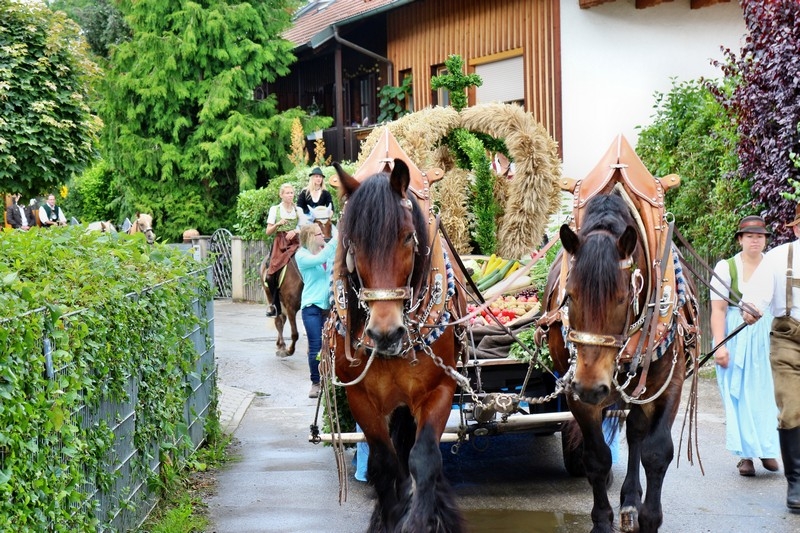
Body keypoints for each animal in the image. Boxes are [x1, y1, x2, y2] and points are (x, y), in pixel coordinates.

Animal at [260, 216, 334, 358]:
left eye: (330, 227)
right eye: (318, 230)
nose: (326, 242)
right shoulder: (290, 307)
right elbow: (295, 333)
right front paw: (289, 350)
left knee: (281, 319)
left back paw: (280, 344)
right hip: (272, 297)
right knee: (278, 320)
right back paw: (282, 346)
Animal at [324, 159, 466, 532]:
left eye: (405, 236)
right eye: (353, 243)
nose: (385, 333)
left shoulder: (440, 389)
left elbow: (424, 458)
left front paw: (422, 521)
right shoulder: (361, 398)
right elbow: (385, 463)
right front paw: (390, 516)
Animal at [540, 190, 696, 532]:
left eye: (622, 298)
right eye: (570, 295)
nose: (592, 386)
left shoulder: (669, 385)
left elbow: (656, 451)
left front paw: (650, 517)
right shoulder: (576, 394)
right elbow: (597, 457)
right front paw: (602, 521)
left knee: (637, 432)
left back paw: (632, 500)